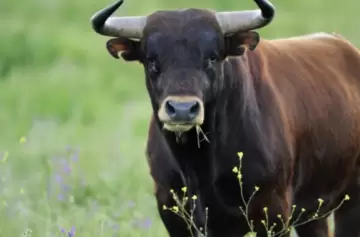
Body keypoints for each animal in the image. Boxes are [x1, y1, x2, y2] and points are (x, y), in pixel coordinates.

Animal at [89, 0, 360, 236]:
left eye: (212, 57)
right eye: (151, 59)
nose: (182, 109)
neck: (198, 164)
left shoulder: (272, 212)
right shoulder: (173, 212)